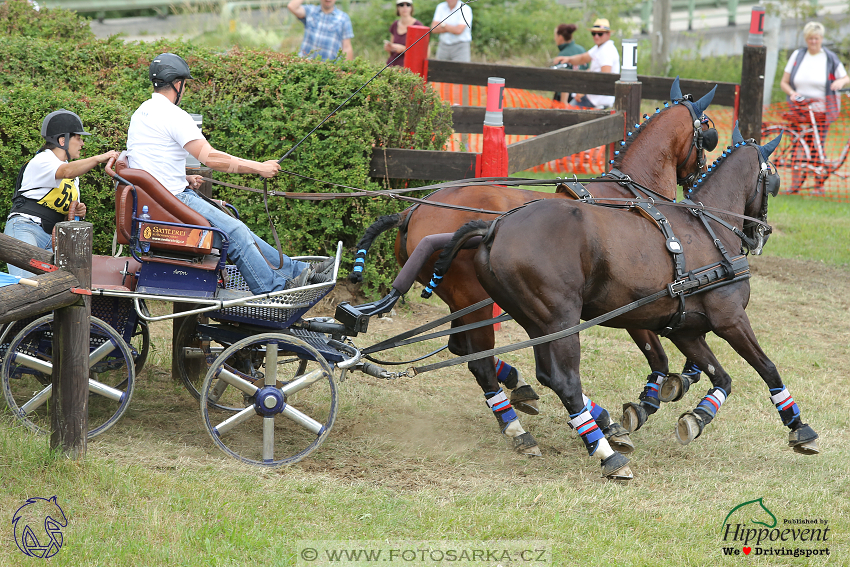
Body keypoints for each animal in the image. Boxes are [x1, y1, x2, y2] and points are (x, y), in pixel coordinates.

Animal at [352, 79, 716, 458]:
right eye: (709, 131)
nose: (698, 178)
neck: (626, 197)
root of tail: (413, 211)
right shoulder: (633, 301)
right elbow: (658, 357)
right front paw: (668, 387)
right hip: (475, 299)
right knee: (479, 361)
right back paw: (526, 425)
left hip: (464, 302)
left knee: (461, 349)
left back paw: (528, 391)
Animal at [430, 126, 816, 482]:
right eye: (774, 178)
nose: (759, 232)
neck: (710, 231)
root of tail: (494, 228)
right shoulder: (731, 320)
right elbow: (767, 368)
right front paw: (798, 425)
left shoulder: (686, 330)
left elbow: (721, 377)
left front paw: (698, 416)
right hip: (561, 321)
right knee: (565, 380)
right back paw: (606, 452)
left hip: (537, 322)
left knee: (532, 372)